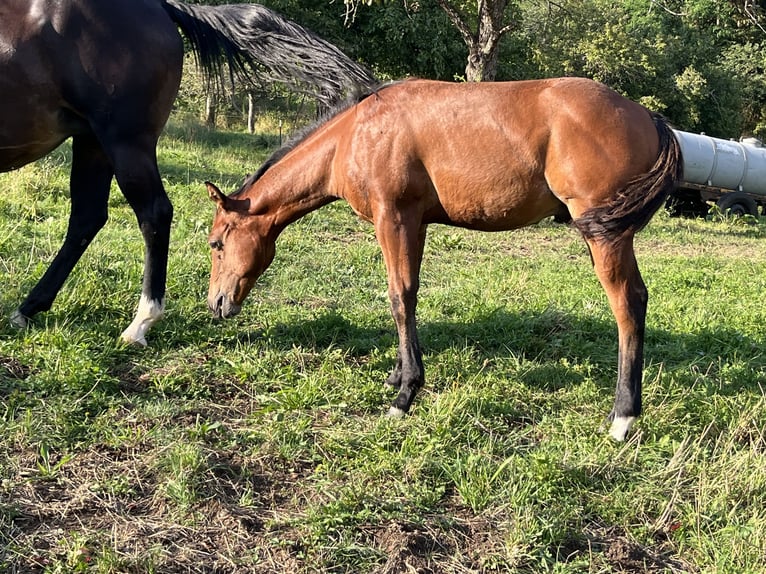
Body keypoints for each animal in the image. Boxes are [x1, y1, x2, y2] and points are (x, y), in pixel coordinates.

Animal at [206, 79, 684, 444]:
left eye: (216, 243)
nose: (216, 304)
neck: (356, 134)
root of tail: (649, 118)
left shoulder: (393, 218)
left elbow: (399, 297)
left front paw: (404, 396)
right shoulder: (414, 224)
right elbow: (407, 296)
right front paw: (398, 376)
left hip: (606, 237)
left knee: (628, 305)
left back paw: (622, 418)